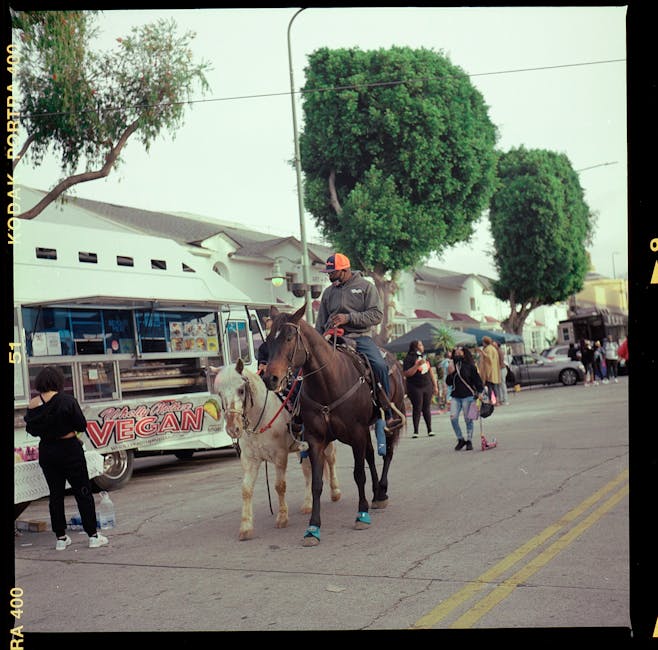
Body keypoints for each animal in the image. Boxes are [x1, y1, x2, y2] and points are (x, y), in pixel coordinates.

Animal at [213, 356, 340, 540]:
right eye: (219, 393)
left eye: (241, 390)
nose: (232, 429)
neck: (261, 415)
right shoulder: (250, 460)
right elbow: (246, 490)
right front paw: (245, 527)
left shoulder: (280, 456)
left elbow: (280, 486)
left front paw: (282, 517)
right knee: (308, 471)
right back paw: (308, 504)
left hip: (324, 441)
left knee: (331, 459)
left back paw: (335, 492)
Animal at [262, 302, 404, 540]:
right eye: (270, 340)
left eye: (289, 338)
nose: (269, 378)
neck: (328, 383)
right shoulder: (315, 439)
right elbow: (317, 483)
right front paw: (313, 528)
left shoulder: (356, 433)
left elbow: (358, 474)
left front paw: (361, 514)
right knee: (371, 456)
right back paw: (377, 494)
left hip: (390, 418)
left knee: (388, 453)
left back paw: (382, 490)